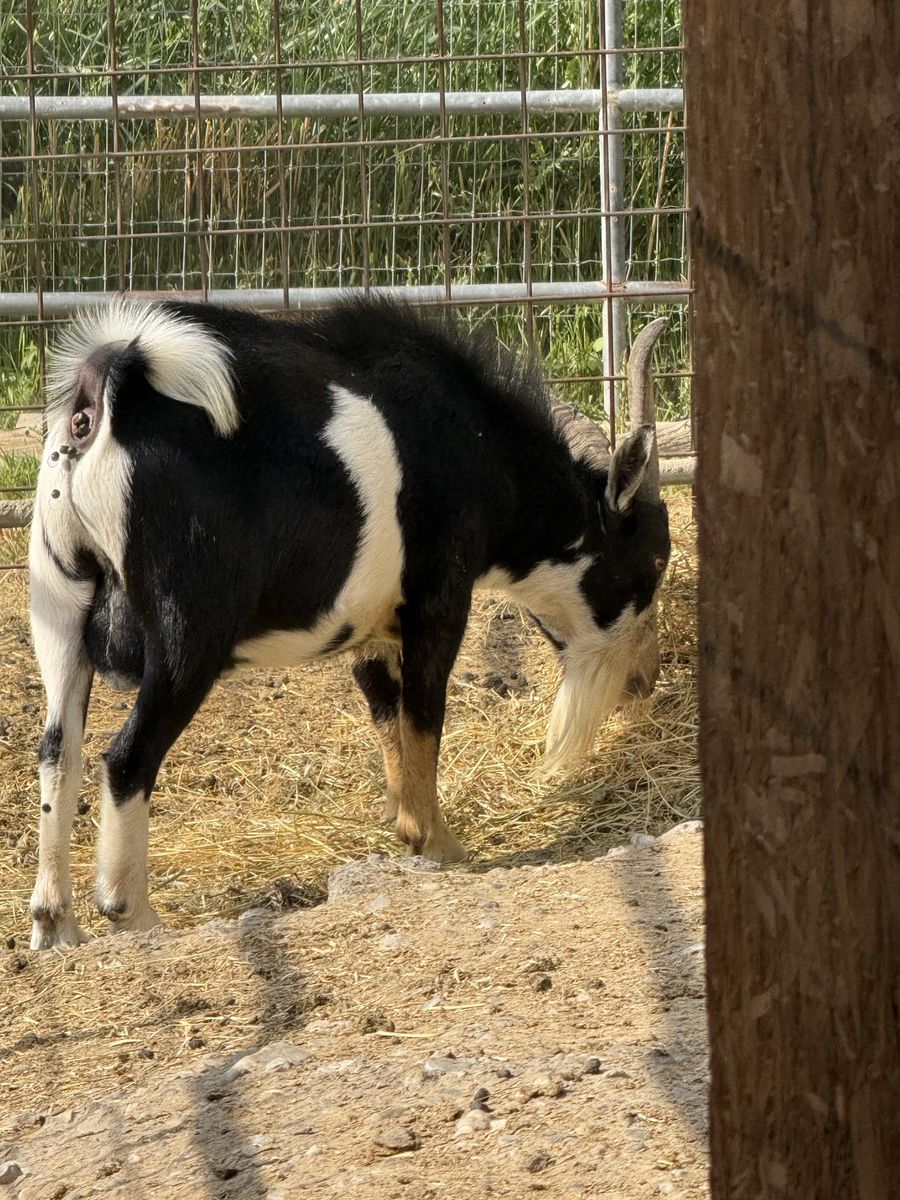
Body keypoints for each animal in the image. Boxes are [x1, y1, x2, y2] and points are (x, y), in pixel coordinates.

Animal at [28, 298, 670, 949]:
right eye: (654, 560)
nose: (644, 679)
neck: (476, 446)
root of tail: (99, 401)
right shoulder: (438, 600)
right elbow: (423, 716)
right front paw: (437, 843)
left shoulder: (371, 624)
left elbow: (387, 714)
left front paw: (405, 826)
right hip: (188, 636)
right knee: (126, 758)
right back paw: (133, 912)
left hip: (57, 611)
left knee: (59, 749)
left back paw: (56, 923)